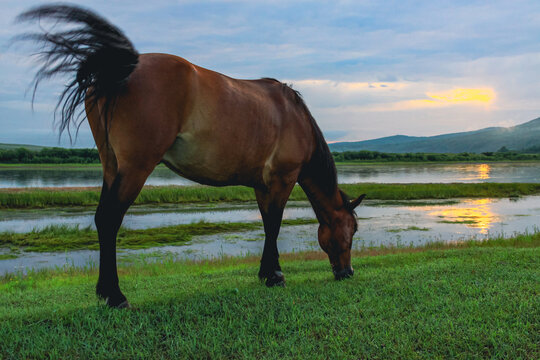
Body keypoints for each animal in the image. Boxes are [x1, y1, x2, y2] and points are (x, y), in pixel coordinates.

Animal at [17, 3, 362, 306]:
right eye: (352, 230)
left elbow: (267, 224)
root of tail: (124, 66)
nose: (347, 272)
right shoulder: (282, 179)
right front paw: (275, 275)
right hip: (135, 168)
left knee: (103, 219)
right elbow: (274, 224)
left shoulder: (261, 185)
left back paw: (105, 292)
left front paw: (267, 273)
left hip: (112, 166)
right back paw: (115, 296)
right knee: (110, 219)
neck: (294, 116)